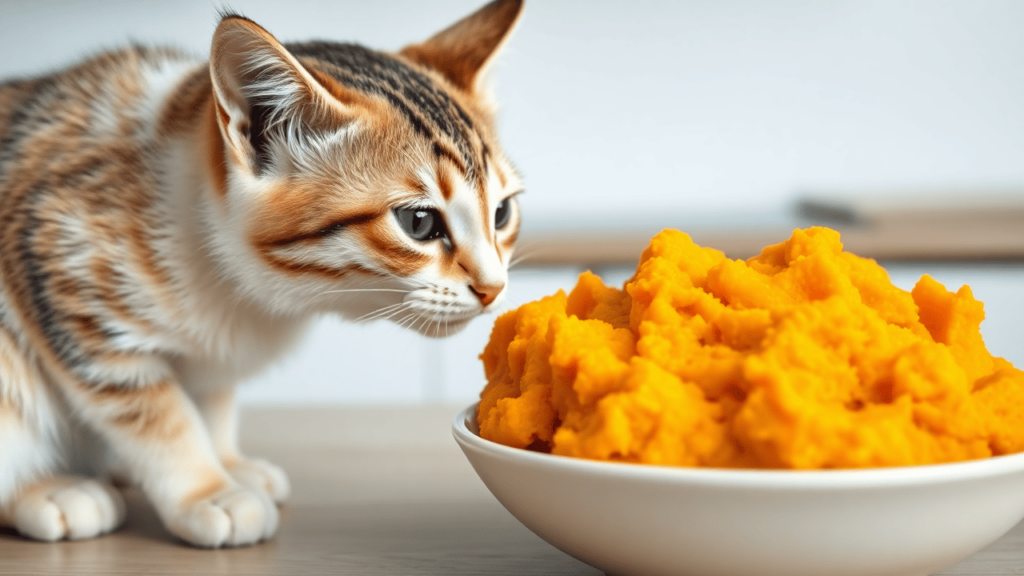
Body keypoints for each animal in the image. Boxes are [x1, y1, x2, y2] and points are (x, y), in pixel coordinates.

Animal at [0, 0, 524, 545]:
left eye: (502, 214)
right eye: (419, 222)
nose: (493, 288)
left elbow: (211, 395)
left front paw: (228, 462)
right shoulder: (62, 267)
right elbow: (154, 414)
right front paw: (208, 490)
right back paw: (49, 491)